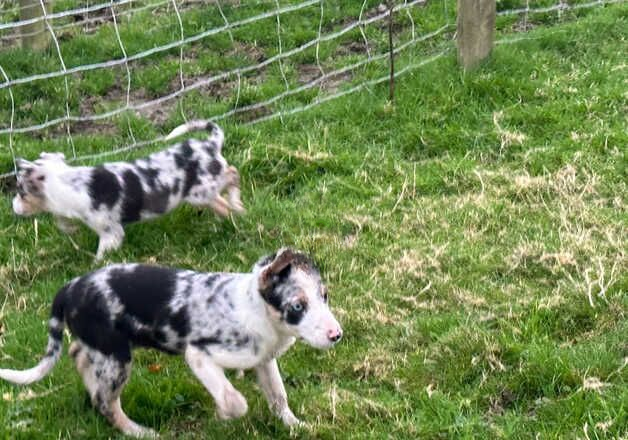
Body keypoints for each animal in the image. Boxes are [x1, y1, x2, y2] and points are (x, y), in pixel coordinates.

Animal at [0, 249, 344, 438]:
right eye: (298, 306)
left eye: (325, 297)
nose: (336, 335)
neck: (255, 309)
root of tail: (69, 288)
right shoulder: (199, 355)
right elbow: (234, 399)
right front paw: (224, 416)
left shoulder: (263, 359)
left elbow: (278, 397)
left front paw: (295, 425)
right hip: (116, 357)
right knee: (106, 402)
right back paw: (138, 432)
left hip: (103, 349)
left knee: (80, 357)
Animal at [11, 118, 245, 260]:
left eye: (21, 193)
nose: (12, 206)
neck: (69, 181)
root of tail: (209, 145)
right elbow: (61, 221)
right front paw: (70, 228)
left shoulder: (111, 232)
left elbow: (101, 255)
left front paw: (95, 266)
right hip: (202, 193)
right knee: (221, 201)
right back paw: (226, 218)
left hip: (202, 190)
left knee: (233, 174)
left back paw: (237, 204)